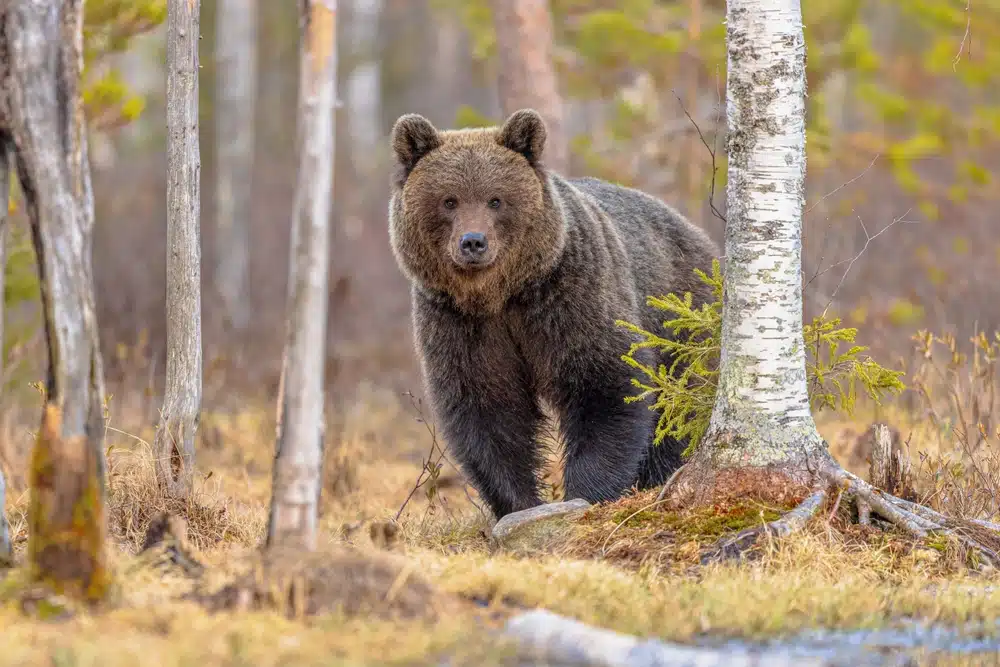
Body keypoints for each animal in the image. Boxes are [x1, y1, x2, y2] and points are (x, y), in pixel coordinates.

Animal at [388, 108, 719, 520]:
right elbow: (488, 408)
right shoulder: (460, 323)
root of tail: (696, 234)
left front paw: (587, 492)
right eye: (449, 201)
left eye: (495, 200)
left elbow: (604, 384)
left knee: (677, 404)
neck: (501, 295)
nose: (473, 242)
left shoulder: (569, 297)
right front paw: (519, 503)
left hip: (678, 317)